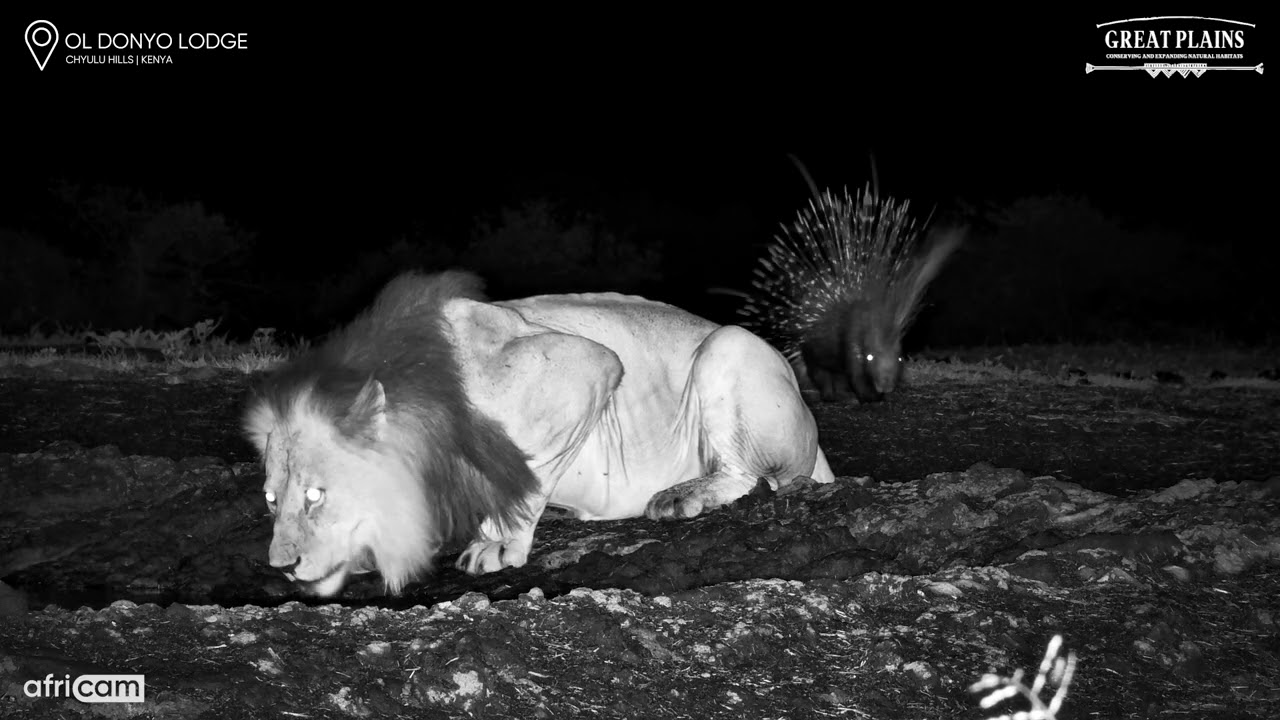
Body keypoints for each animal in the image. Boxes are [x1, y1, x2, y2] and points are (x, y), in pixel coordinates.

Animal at [243, 270, 834, 597]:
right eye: (271, 499)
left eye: (316, 495)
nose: (283, 567)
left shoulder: (587, 365)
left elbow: (526, 471)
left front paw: (497, 541)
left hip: (727, 346)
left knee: (752, 476)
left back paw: (683, 494)